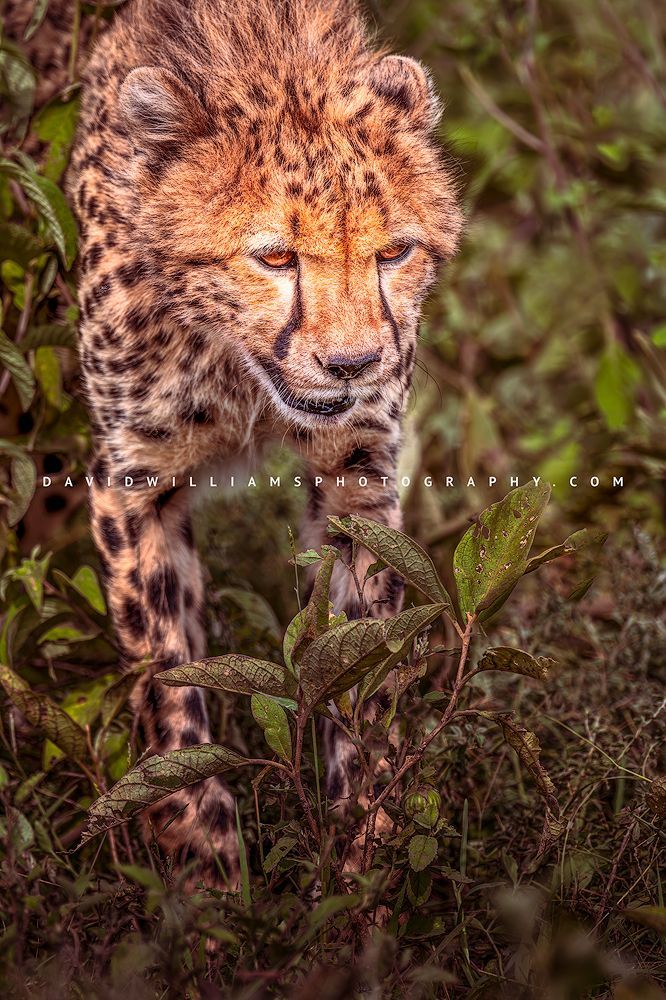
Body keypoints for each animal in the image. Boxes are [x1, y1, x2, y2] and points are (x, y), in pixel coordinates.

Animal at [15, 0, 463, 890]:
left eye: (394, 251)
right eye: (275, 256)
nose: (354, 363)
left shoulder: (357, 469)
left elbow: (360, 655)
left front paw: (363, 855)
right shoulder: (132, 476)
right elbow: (165, 676)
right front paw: (210, 875)